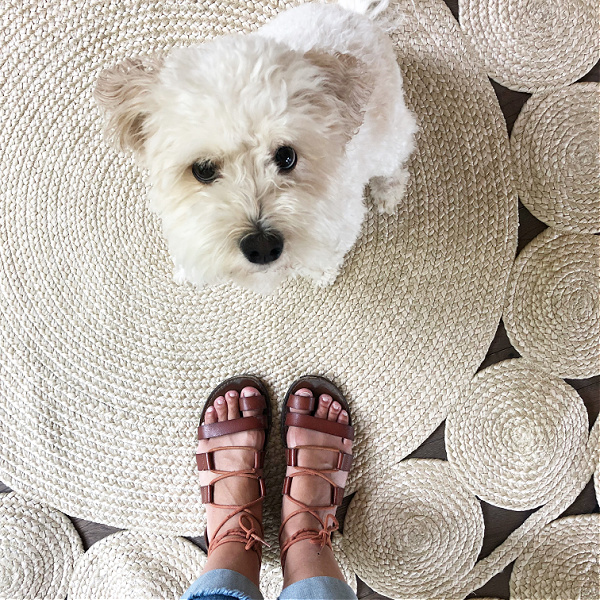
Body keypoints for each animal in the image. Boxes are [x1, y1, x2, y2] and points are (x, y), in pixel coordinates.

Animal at [95, 0, 418, 292]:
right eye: (203, 169)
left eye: (286, 157)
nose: (262, 246)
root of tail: (354, 15)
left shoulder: (341, 222)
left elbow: (326, 255)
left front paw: (319, 272)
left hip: (390, 136)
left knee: (395, 164)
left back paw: (388, 191)